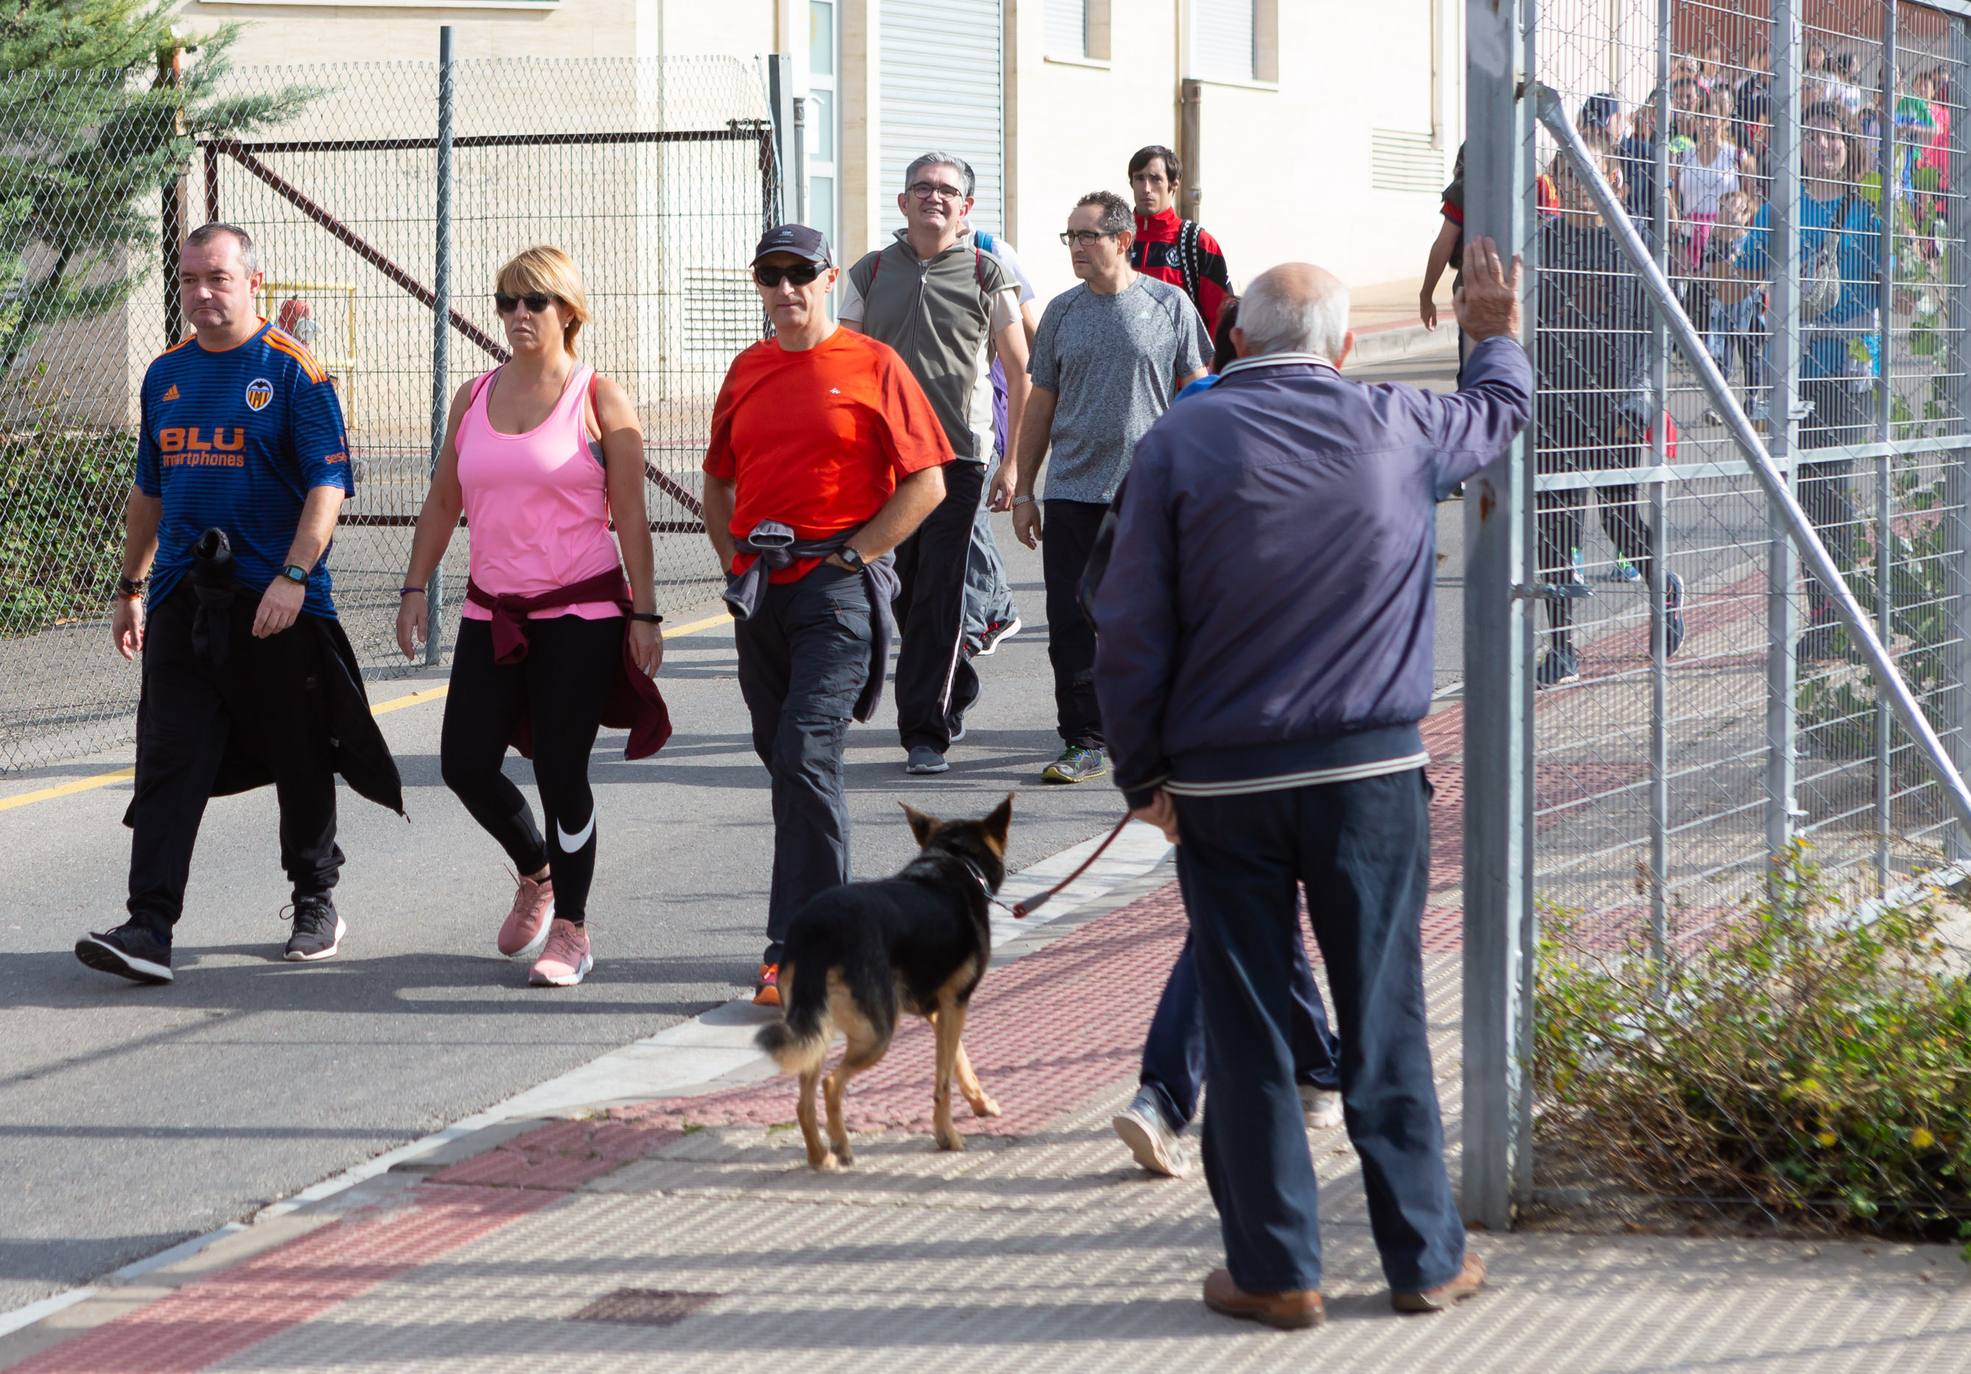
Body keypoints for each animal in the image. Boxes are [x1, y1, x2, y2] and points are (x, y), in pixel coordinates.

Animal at [745, 792, 1009, 1167]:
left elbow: (960, 1061)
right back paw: (841, 1146)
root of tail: (817, 932)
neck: (954, 860)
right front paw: (948, 1135)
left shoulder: (941, 1011)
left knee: (804, 1101)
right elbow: (943, 1081)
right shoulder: (955, 1004)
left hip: (817, 1027)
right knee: (831, 1084)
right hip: (878, 1032)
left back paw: (820, 1157)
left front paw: (980, 1102)